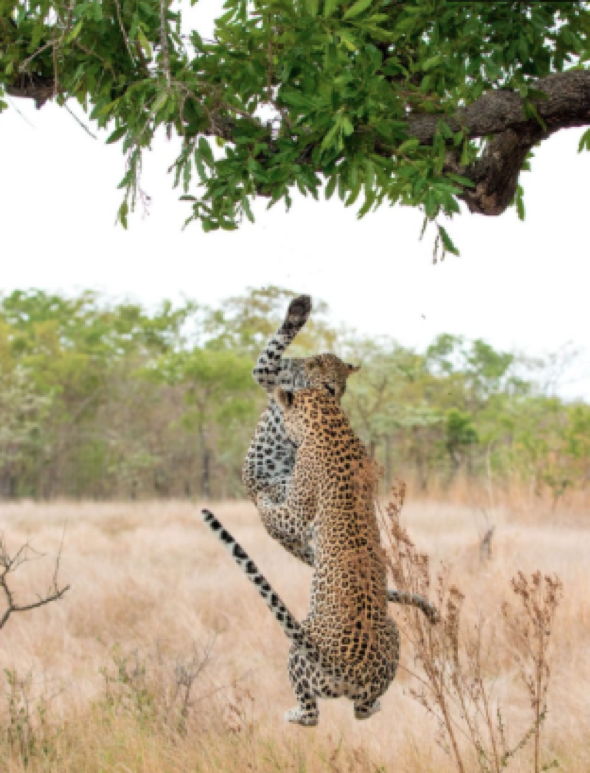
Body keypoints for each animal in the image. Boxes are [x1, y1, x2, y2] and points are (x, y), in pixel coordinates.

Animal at [204, 390, 440, 728]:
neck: (328, 420)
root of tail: (348, 667)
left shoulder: (297, 507)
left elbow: (278, 513)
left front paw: (264, 496)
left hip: (299, 649)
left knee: (313, 714)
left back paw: (293, 713)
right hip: (391, 635)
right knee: (361, 709)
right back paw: (376, 704)